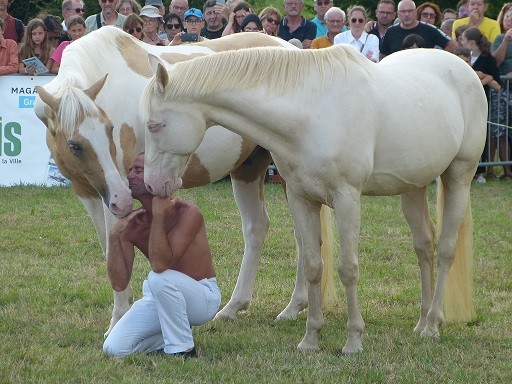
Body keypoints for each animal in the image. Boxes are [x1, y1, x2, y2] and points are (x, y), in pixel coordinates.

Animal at [34, 27, 334, 336]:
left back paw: (293, 307)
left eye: (110, 129)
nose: (121, 198)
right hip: (247, 170)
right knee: (257, 228)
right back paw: (233, 307)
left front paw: (119, 319)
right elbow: (109, 252)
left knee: (303, 237)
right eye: (74, 145)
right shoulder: (89, 192)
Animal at [142, 45, 486, 354]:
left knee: (445, 250)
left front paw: (353, 341)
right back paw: (422, 320)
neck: (310, 112)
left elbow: (347, 268)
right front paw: (310, 339)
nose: (153, 185)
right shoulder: (301, 198)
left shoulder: (347, 198)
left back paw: (432, 325)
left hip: (459, 177)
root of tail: (463, 68)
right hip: (413, 187)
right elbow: (311, 266)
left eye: (154, 124)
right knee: (424, 246)